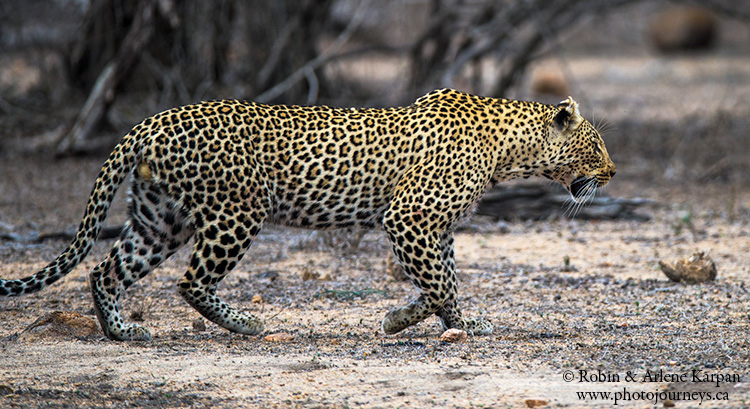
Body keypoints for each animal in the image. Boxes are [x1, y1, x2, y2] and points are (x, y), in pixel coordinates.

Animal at [0, 89, 616, 342]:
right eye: (595, 146)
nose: (612, 173)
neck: (512, 151)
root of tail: (150, 120)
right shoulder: (410, 217)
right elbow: (442, 283)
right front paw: (456, 323)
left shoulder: (433, 228)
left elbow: (440, 280)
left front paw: (408, 319)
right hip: (235, 213)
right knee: (191, 281)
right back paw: (245, 325)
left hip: (160, 219)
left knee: (106, 270)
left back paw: (121, 331)